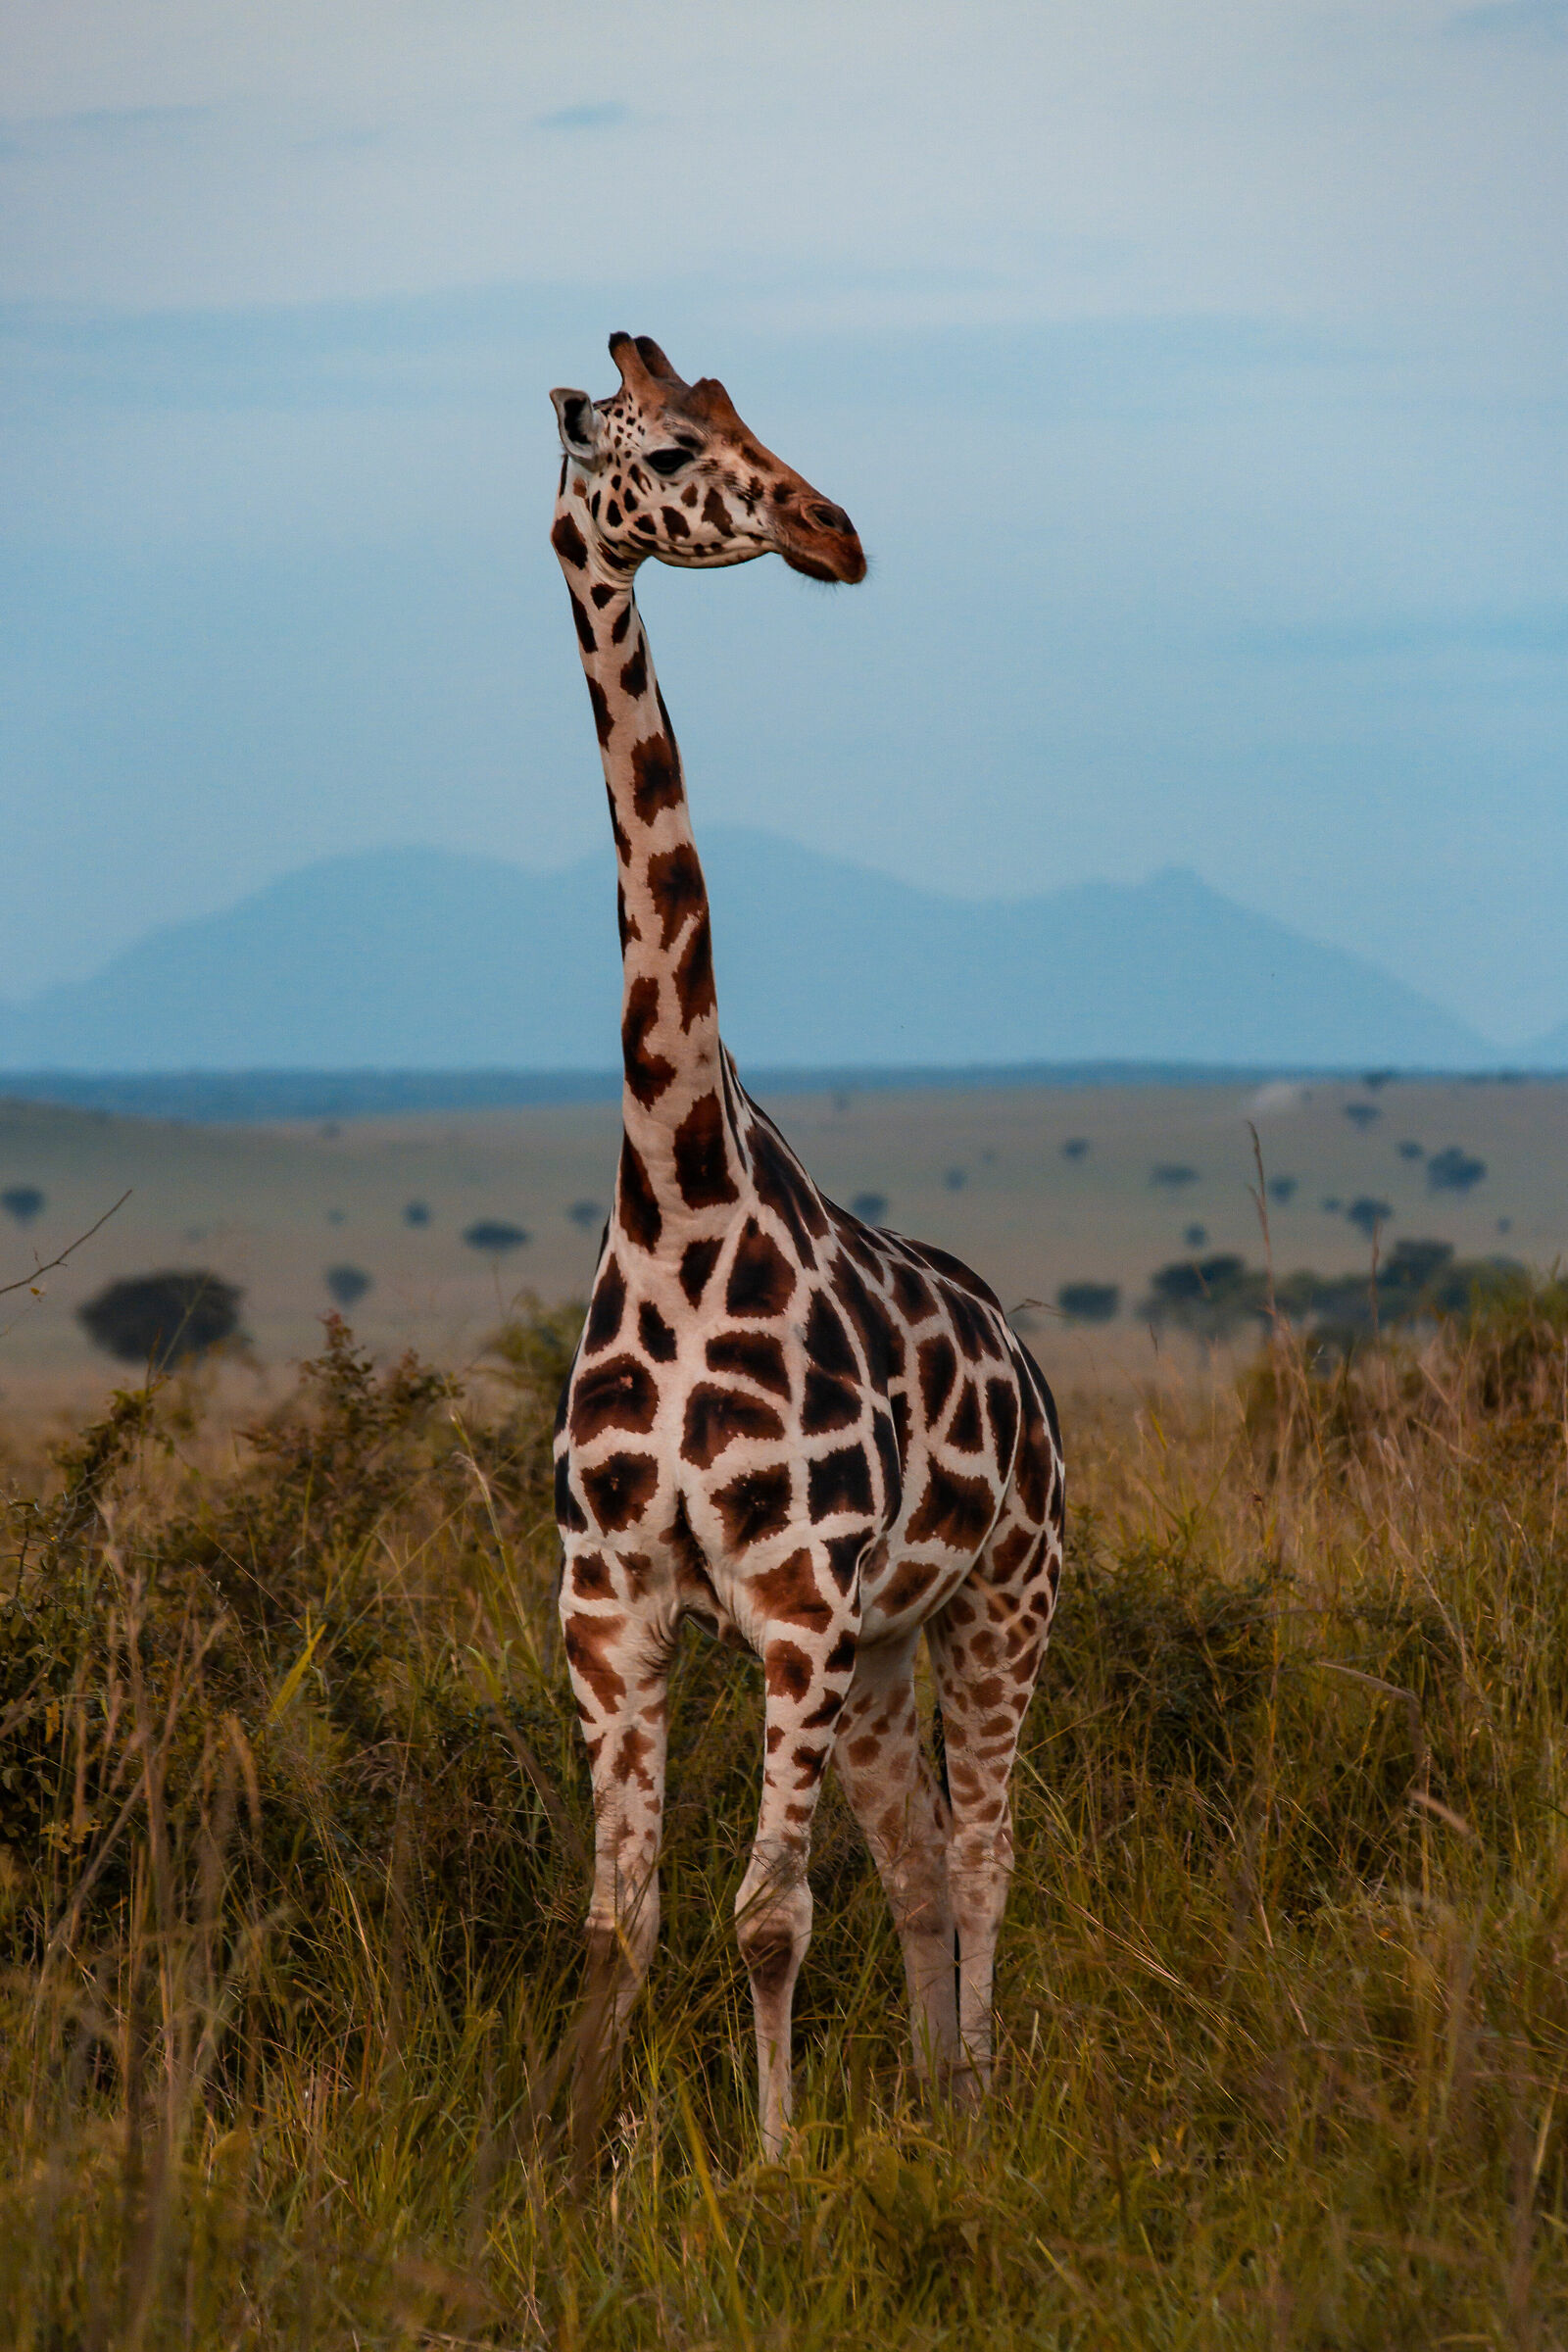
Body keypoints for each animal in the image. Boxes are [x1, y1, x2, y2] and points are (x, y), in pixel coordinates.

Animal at [549, 333, 1065, 2161]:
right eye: (668, 445)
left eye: (736, 405)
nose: (835, 530)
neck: (678, 1195)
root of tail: (1028, 1364)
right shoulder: (609, 1599)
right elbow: (621, 1924)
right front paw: (575, 2160)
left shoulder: (792, 1596)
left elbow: (770, 1915)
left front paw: (767, 2173)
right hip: (893, 1641)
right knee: (918, 1867)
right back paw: (932, 2096)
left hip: (1002, 1602)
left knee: (982, 1859)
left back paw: (976, 2112)